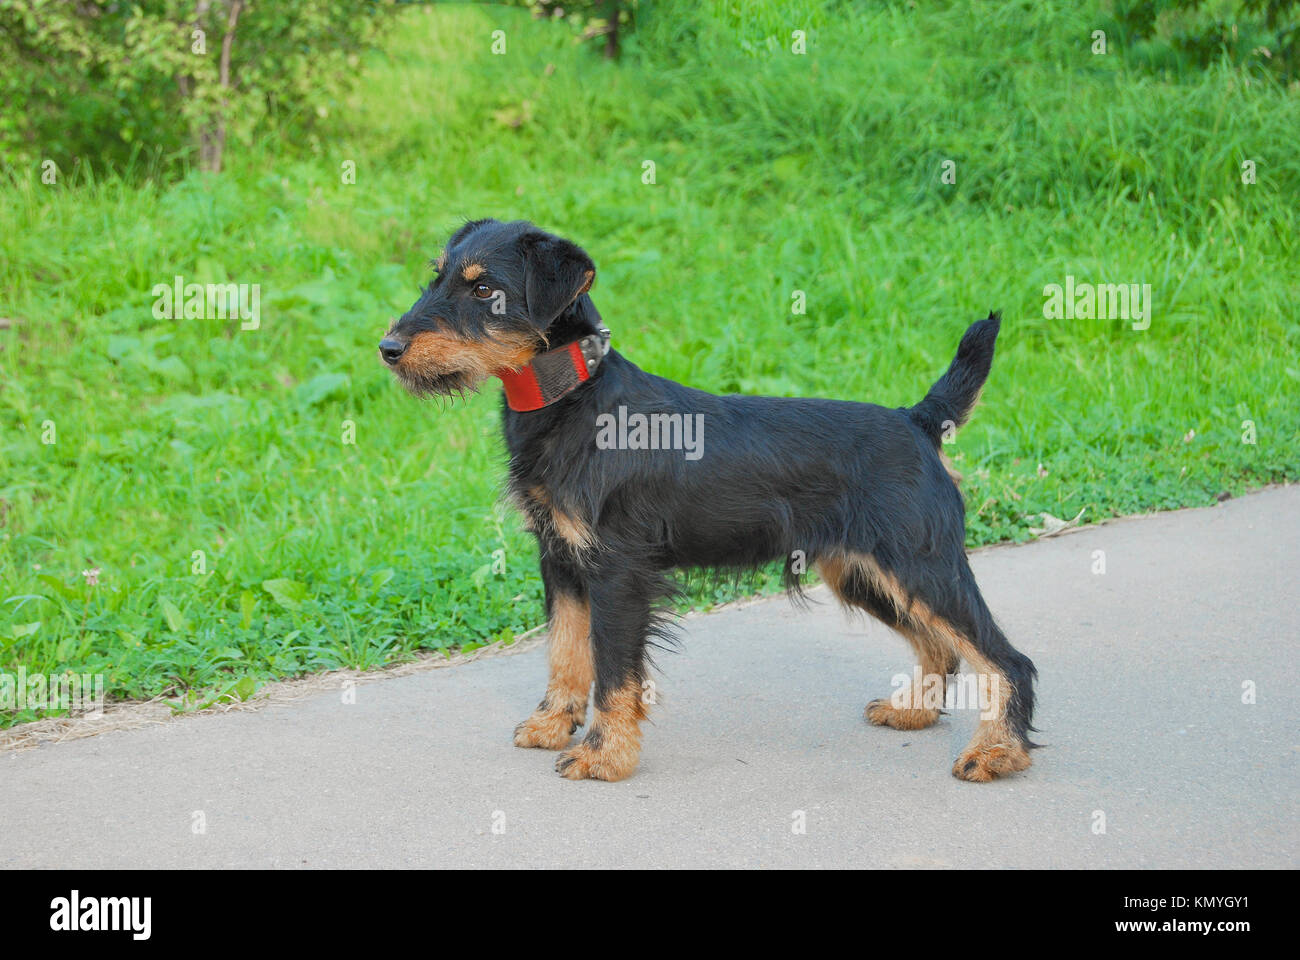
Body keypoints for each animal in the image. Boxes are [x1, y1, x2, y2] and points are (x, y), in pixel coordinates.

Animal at [377, 217, 1034, 780]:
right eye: (436, 277)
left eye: (485, 288)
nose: (388, 347)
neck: (574, 398)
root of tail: (917, 420)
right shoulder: (561, 563)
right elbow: (565, 651)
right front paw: (552, 724)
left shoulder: (617, 573)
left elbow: (612, 670)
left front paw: (604, 756)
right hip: (863, 572)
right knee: (942, 648)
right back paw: (913, 712)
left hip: (921, 566)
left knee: (1006, 659)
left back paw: (997, 753)